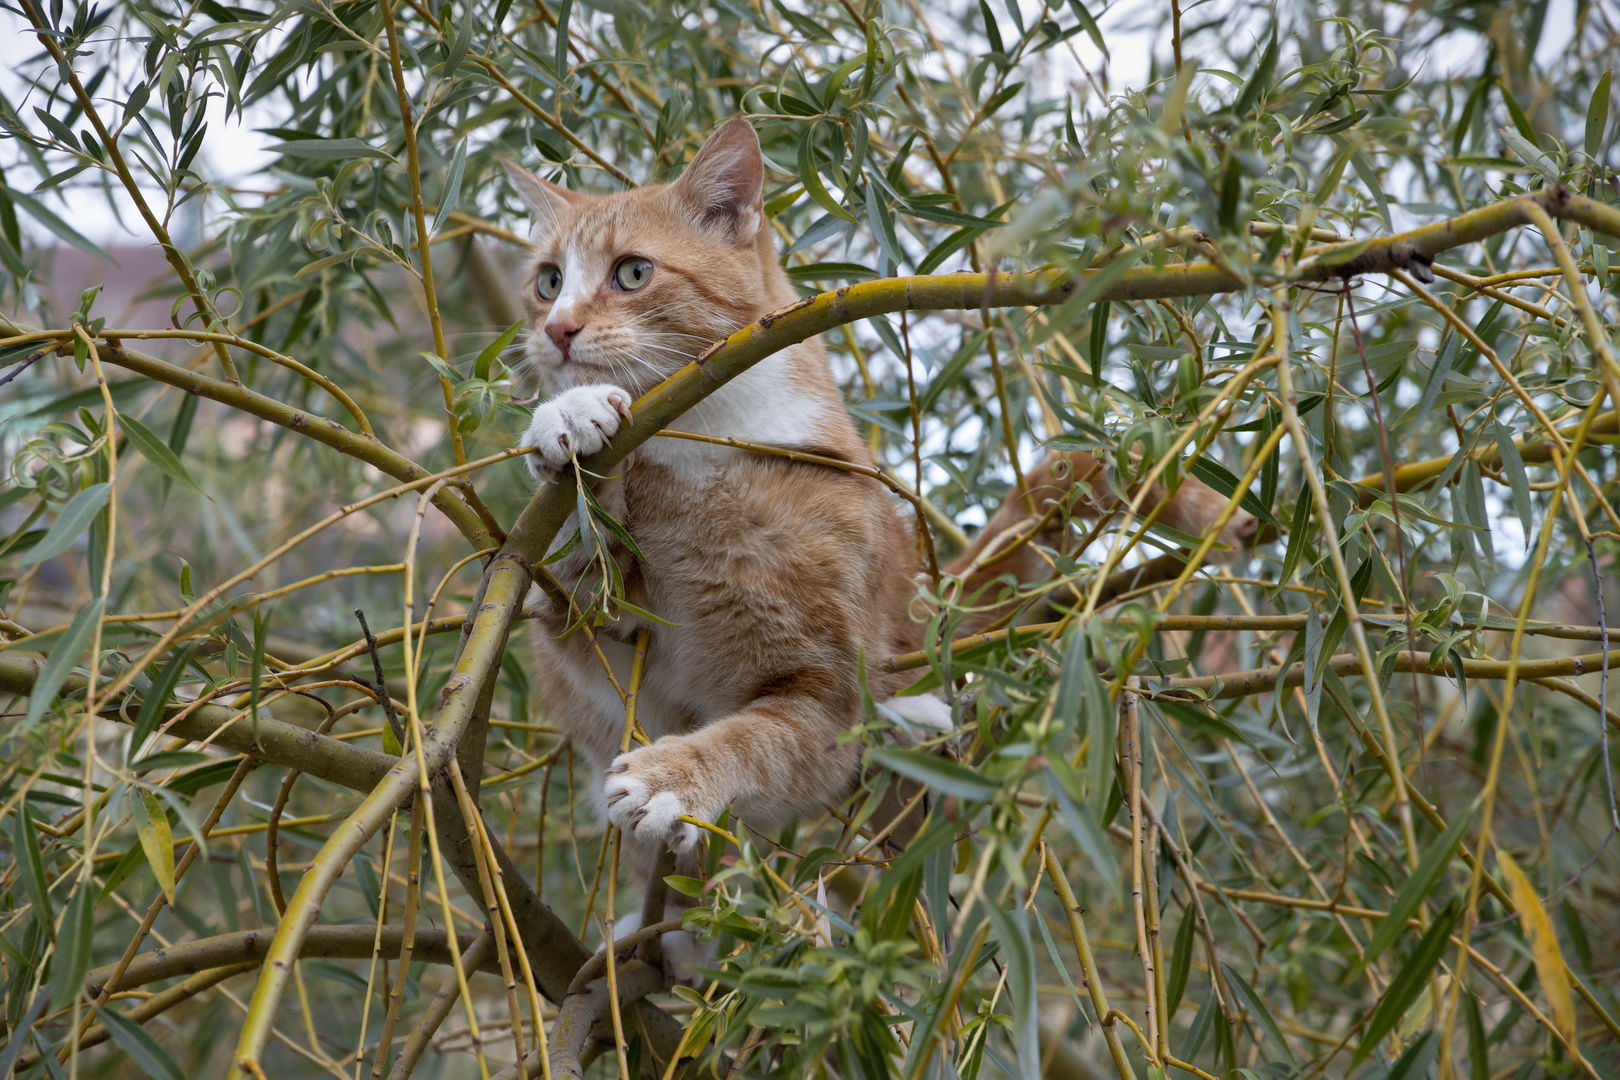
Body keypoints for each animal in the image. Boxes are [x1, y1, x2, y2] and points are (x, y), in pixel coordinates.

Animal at [505, 114, 1250, 945]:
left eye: (632, 273)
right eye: (548, 280)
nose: (557, 329)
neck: (699, 459)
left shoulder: (827, 694)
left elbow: (757, 739)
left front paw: (673, 778)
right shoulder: (579, 625)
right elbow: (574, 566)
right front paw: (571, 419)